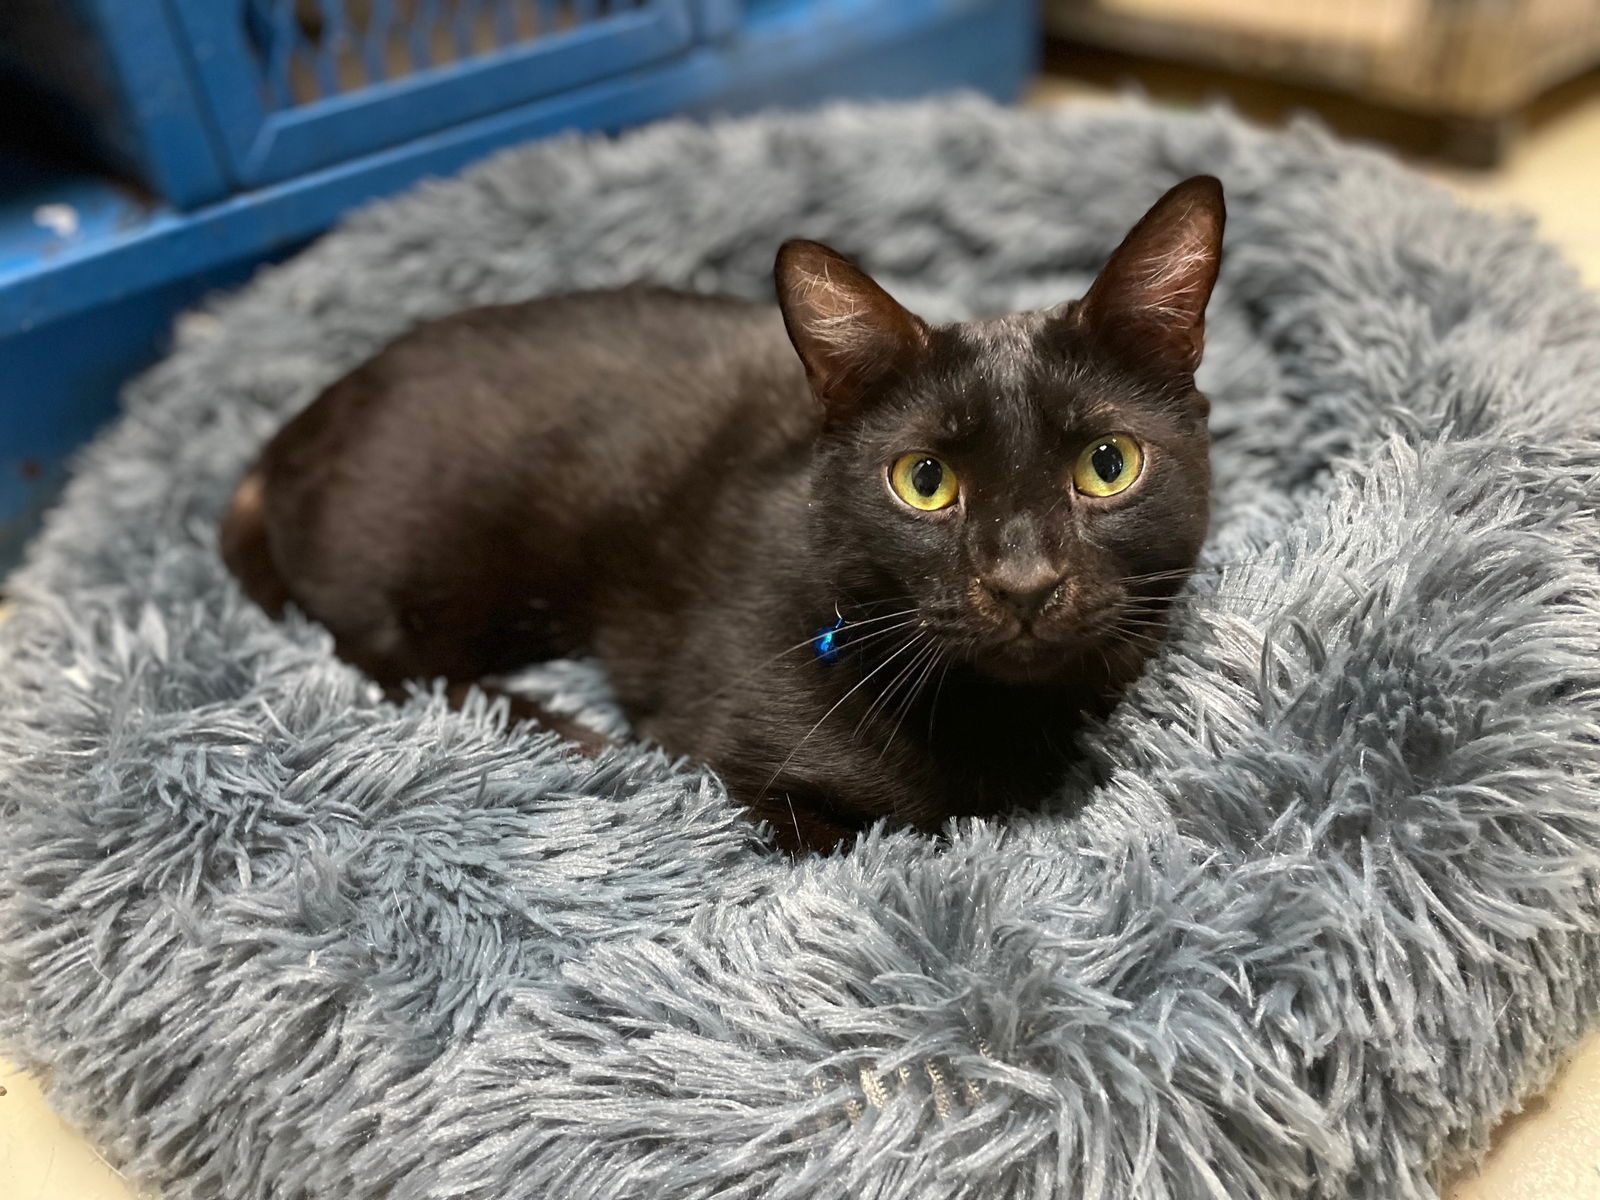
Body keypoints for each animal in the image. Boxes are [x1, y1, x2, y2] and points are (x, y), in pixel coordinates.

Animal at [222, 178, 1222, 857]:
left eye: (1107, 466)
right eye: (925, 481)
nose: (1023, 581)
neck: (1004, 720)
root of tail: (285, 439)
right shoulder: (732, 767)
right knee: (393, 663)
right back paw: (557, 729)